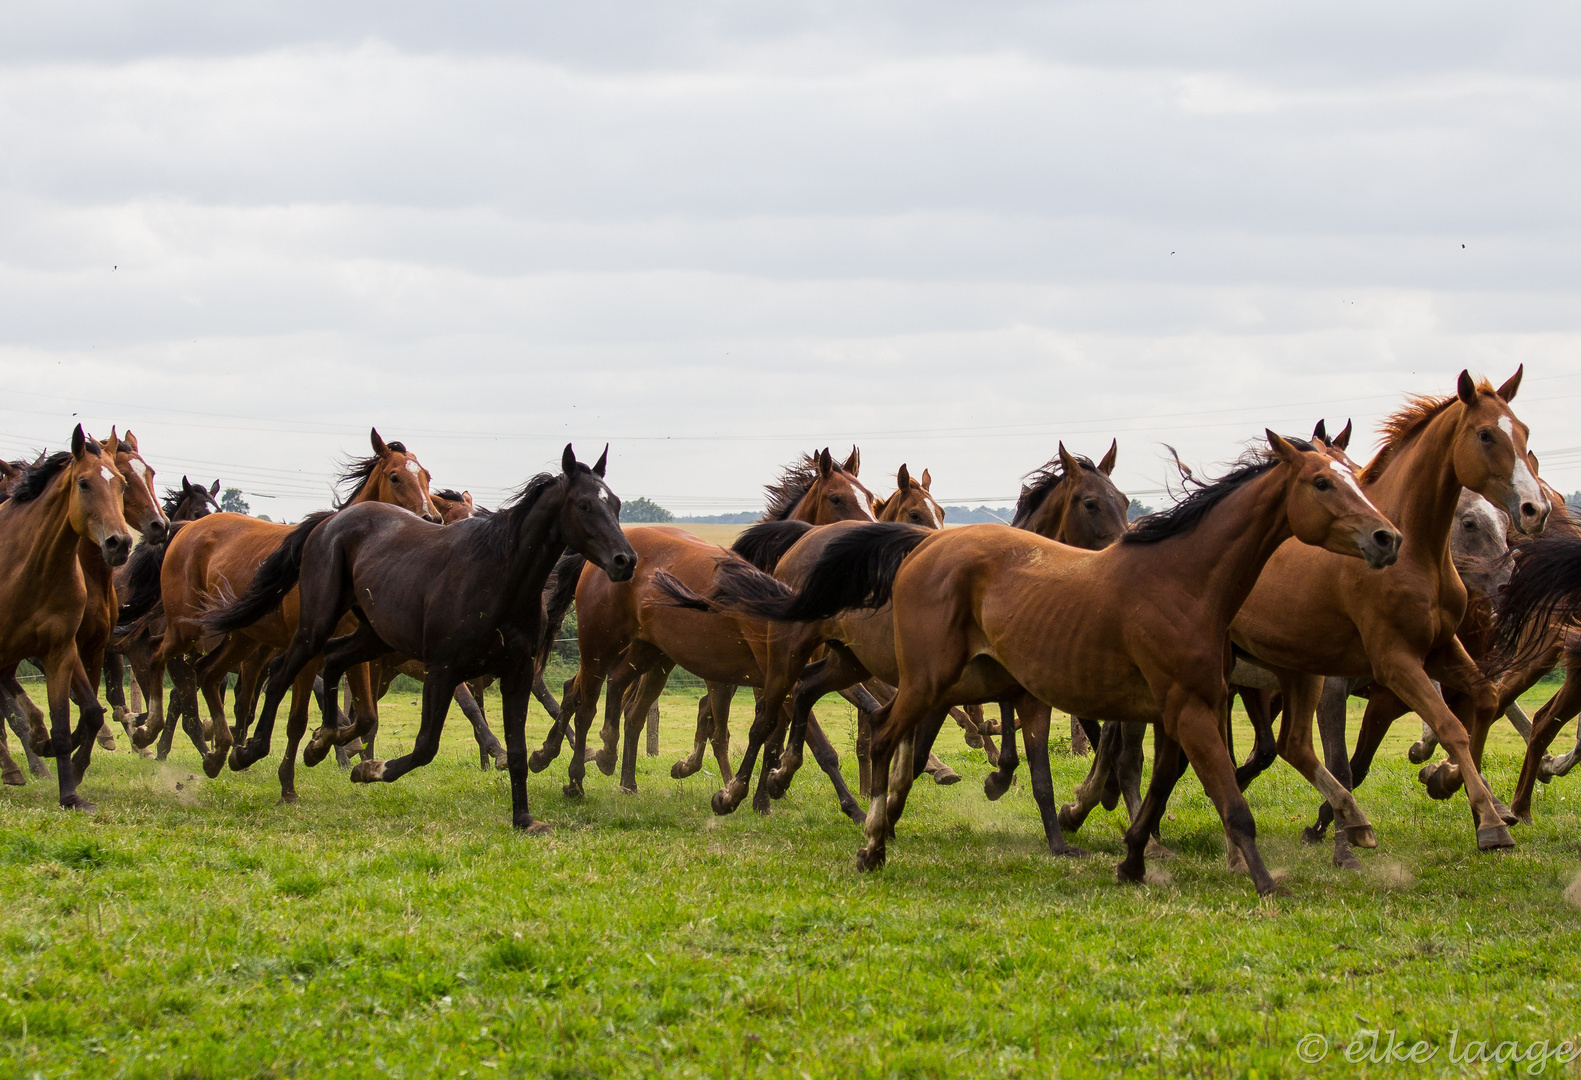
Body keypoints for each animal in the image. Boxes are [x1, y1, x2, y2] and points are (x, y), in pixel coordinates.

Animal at [0, 426, 135, 806]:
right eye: (84, 483)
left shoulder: (61, 651)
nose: (120, 543)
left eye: (121, 484)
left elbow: (75, 717)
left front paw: (70, 794)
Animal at [128, 426, 439, 796]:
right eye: (395, 477)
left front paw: (319, 746)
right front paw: (289, 781)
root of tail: (184, 531)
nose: (431, 518)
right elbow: (297, 720)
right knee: (158, 657)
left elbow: (366, 717)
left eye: (427, 476)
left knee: (207, 673)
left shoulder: (355, 652)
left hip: (243, 637)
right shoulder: (308, 651)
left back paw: (218, 752)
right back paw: (149, 730)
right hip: (188, 627)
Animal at [203, 442, 635, 834]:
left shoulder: (516, 673)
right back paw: (247, 752)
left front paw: (524, 819)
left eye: (615, 504)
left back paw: (322, 741)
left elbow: (516, 750)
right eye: (584, 505)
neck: (499, 576)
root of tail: (330, 522)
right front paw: (369, 769)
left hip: (374, 636)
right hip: (317, 625)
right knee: (280, 673)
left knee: (335, 660)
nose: (625, 560)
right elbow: (426, 745)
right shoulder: (443, 669)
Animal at [676, 430, 1397, 898]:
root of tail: (913, 556)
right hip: (893, 673)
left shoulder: (1172, 706)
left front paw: (1125, 855)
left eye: (1357, 473)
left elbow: (1140, 783)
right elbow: (1223, 798)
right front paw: (1266, 881)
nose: (1386, 537)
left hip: (867, 668)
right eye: (1321, 481)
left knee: (829, 714)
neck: (1184, 578)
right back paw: (823, 819)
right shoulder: (1184, 710)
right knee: (833, 725)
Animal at [1226, 371, 1549, 860]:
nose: (1536, 510)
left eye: (1526, 431)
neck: (1415, 554)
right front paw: (1489, 823)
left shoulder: (1438, 651)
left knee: (1273, 747)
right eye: (1486, 435)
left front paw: (1454, 786)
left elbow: (1483, 703)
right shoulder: (1388, 665)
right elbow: (1431, 733)